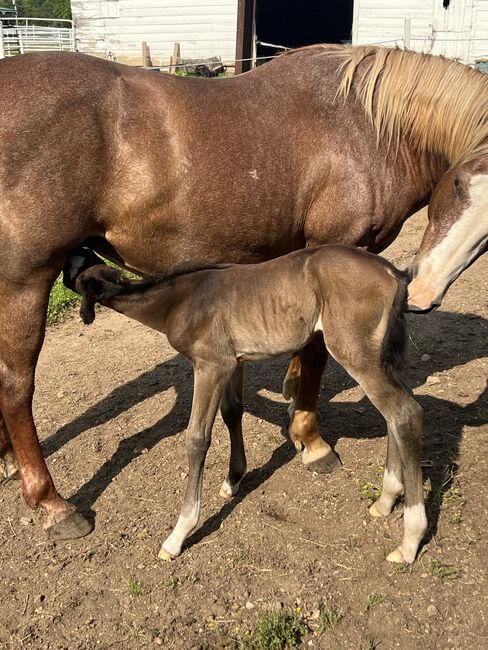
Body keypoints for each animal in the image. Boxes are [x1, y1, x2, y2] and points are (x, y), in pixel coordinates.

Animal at [66, 244, 428, 560]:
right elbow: (232, 412)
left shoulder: (210, 365)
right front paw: (233, 479)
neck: (177, 301)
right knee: (397, 412)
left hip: (354, 351)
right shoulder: (235, 362)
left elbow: (197, 439)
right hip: (382, 357)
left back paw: (409, 542)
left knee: (405, 413)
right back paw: (385, 501)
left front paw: (178, 535)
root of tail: (394, 272)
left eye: (69, 269)